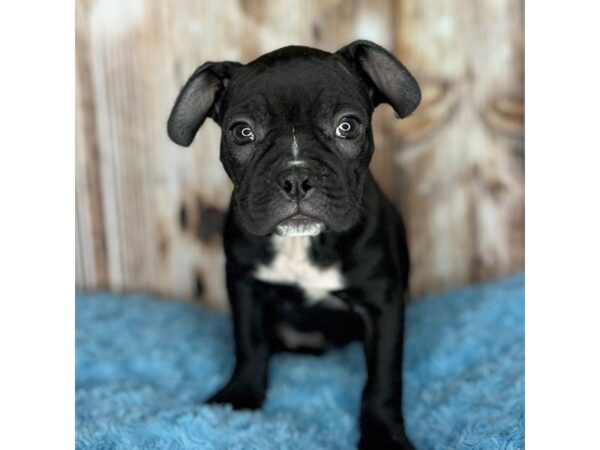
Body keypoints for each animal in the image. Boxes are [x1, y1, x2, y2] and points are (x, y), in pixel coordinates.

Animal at [168, 40, 422, 448]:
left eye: (347, 126)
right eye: (242, 132)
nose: (296, 176)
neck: (303, 244)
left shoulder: (382, 303)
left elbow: (383, 377)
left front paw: (384, 435)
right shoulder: (245, 287)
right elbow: (249, 344)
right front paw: (239, 397)